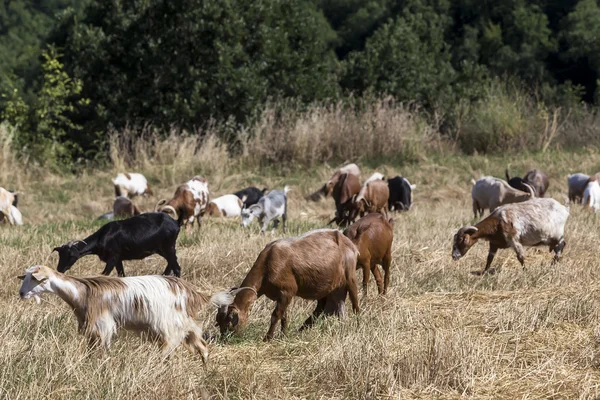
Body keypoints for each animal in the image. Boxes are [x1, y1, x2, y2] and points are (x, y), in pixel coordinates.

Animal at [17, 266, 209, 362]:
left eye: (35, 279)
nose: (21, 293)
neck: (82, 292)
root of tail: (190, 291)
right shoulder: (92, 329)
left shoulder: (102, 325)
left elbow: (102, 351)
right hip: (185, 323)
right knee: (201, 345)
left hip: (169, 325)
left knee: (170, 349)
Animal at [212, 228, 358, 340]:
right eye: (218, 323)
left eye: (230, 323)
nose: (226, 339)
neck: (268, 261)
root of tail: (348, 243)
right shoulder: (282, 296)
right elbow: (284, 316)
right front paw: (283, 335)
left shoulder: (287, 291)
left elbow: (275, 315)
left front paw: (267, 338)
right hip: (332, 288)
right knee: (329, 308)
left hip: (350, 277)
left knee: (355, 303)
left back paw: (357, 324)